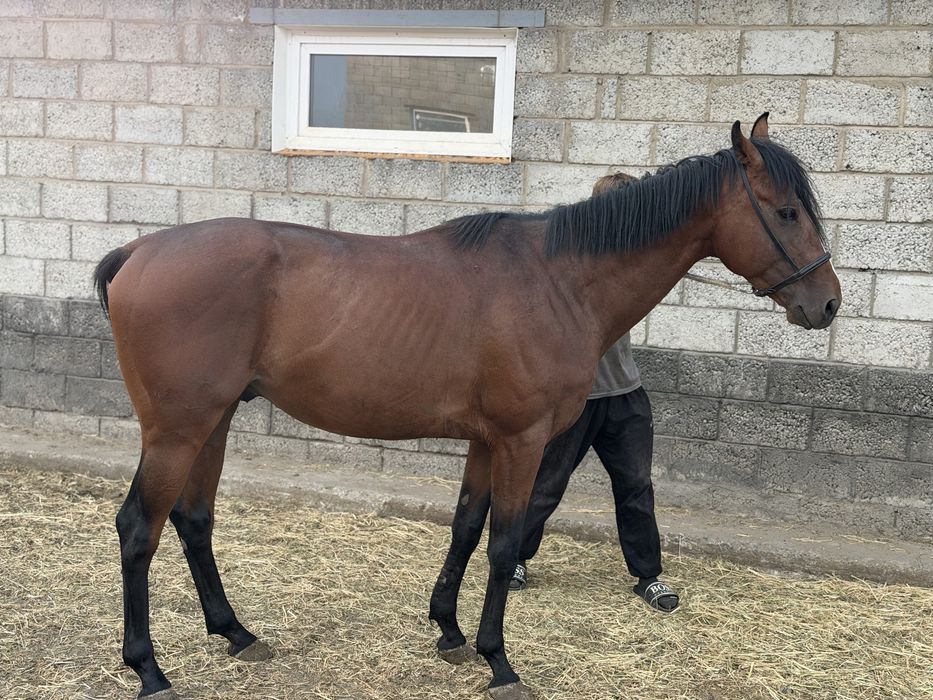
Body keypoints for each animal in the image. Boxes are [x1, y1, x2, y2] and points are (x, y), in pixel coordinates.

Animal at [94, 114, 840, 700]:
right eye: (785, 212)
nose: (827, 303)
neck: (558, 279)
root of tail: (138, 250)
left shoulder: (487, 440)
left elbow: (465, 527)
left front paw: (449, 631)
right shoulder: (524, 440)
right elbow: (505, 542)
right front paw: (498, 660)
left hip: (212, 422)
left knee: (193, 521)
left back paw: (237, 634)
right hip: (177, 430)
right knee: (139, 529)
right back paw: (150, 672)